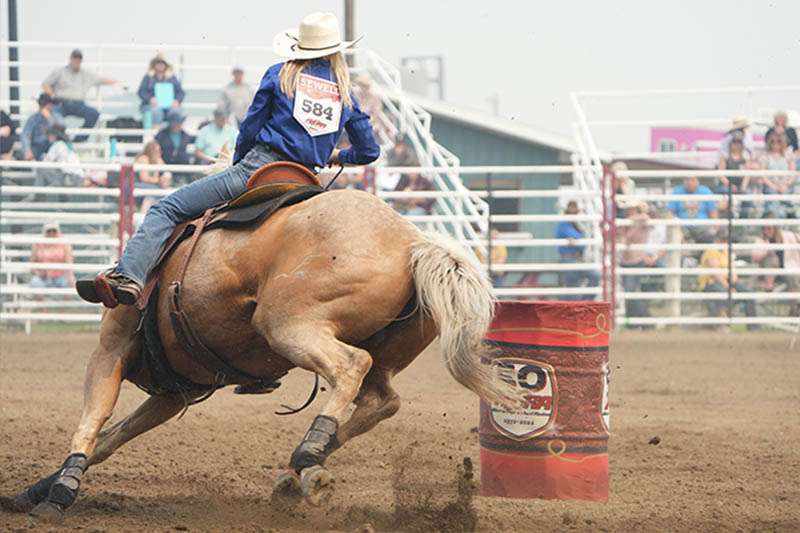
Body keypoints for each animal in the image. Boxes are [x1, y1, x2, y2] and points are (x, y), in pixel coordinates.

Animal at [1, 186, 520, 520]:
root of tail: (414, 241)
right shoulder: (173, 392)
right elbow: (113, 436)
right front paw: (40, 485)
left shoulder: (112, 349)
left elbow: (93, 420)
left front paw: (59, 491)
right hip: (381, 349)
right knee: (380, 398)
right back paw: (303, 470)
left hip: (286, 323)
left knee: (351, 367)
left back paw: (309, 452)